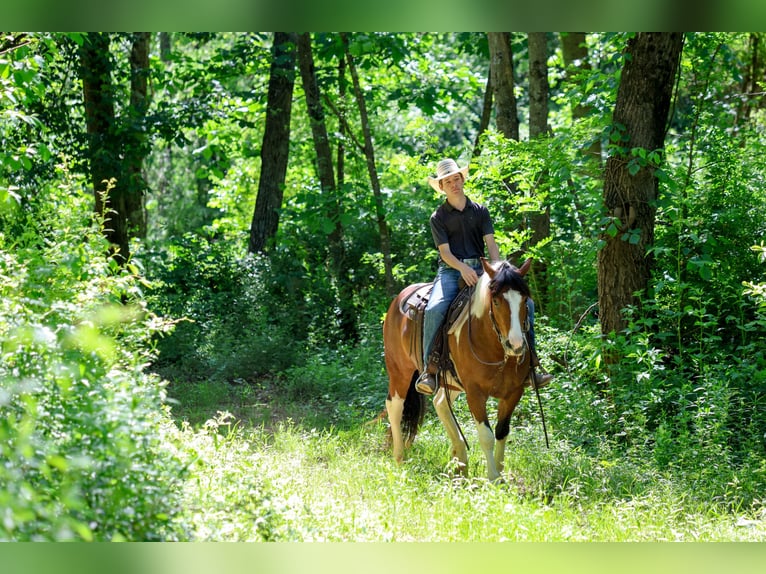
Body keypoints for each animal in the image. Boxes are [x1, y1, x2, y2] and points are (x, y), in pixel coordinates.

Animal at [383, 257, 533, 482]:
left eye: (524, 300)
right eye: (496, 301)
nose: (516, 345)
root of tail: (398, 299)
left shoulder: (514, 392)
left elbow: (502, 431)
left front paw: (499, 474)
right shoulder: (475, 393)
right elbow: (486, 436)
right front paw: (493, 478)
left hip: (450, 381)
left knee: (440, 403)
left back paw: (459, 460)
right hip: (399, 371)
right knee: (395, 406)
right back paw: (400, 458)